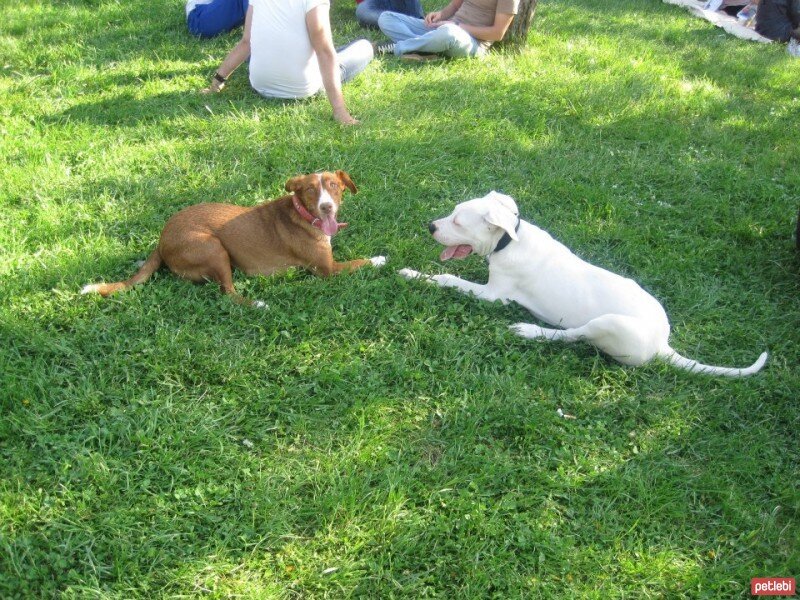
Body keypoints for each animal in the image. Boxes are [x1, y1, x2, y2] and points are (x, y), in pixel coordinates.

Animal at [81, 172, 384, 304]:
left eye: (333, 185)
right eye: (310, 190)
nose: (327, 207)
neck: (300, 213)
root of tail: (161, 239)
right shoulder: (328, 270)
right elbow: (359, 262)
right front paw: (380, 258)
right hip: (213, 248)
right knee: (228, 294)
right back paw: (258, 303)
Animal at [400, 190, 768, 378]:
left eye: (458, 222)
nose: (431, 226)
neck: (510, 241)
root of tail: (662, 345)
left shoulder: (494, 296)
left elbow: (449, 279)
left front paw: (414, 275)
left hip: (612, 324)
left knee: (574, 336)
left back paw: (529, 331)